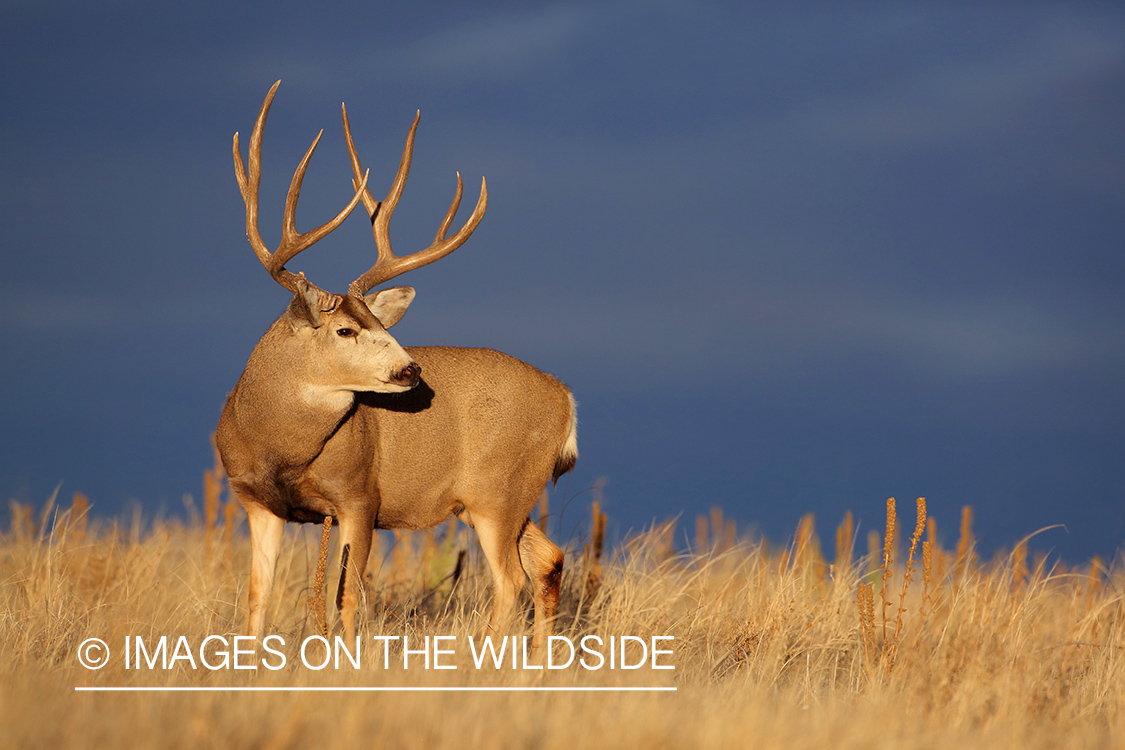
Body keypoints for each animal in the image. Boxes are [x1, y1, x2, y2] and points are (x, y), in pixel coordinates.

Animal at [216, 81, 576, 653]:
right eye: (346, 330)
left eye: (378, 324)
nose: (411, 371)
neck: (279, 446)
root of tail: (566, 397)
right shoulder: (257, 503)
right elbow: (257, 599)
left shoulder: (359, 497)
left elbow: (347, 595)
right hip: (499, 498)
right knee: (549, 561)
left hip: (498, 491)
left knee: (511, 580)